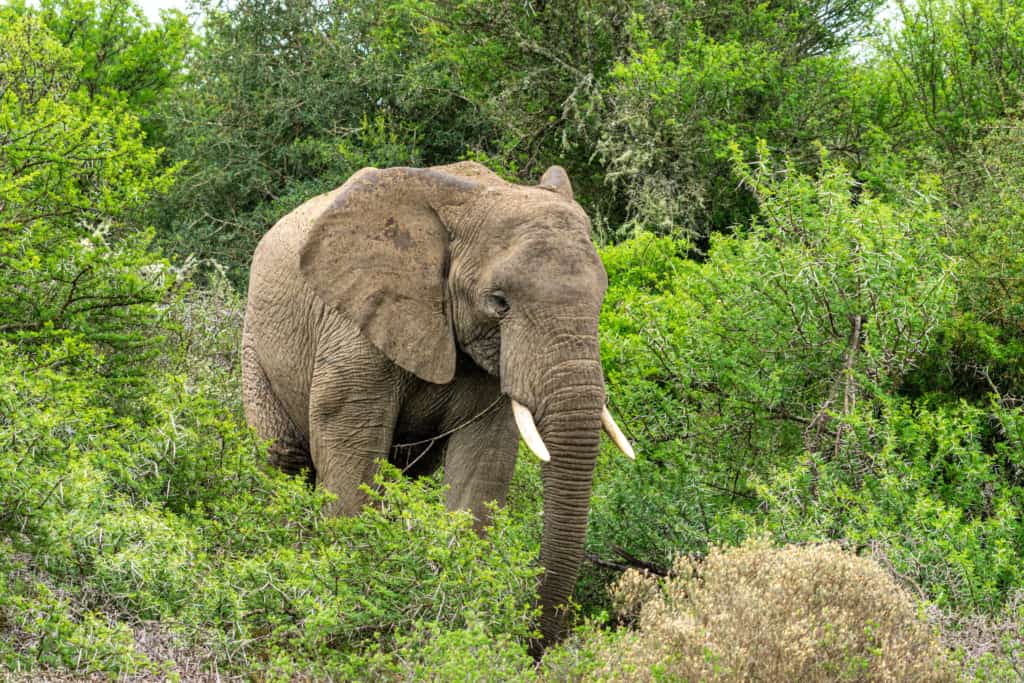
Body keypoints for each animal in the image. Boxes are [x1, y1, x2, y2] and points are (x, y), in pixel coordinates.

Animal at [243, 160, 634, 651]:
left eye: (601, 297)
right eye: (499, 303)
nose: (536, 647)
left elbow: (482, 463)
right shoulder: (354, 326)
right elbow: (351, 455)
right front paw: (351, 616)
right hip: (255, 347)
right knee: (284, 461)